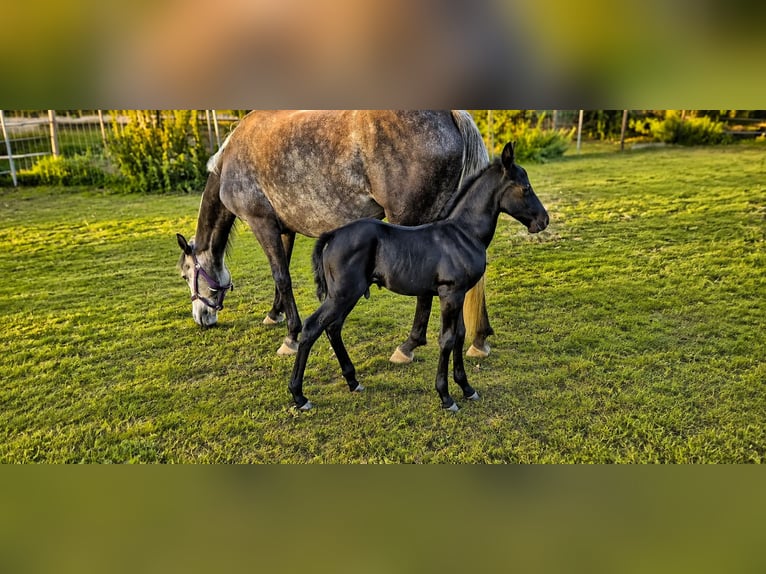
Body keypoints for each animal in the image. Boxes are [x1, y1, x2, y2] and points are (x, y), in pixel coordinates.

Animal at [176, 110, 492, 363]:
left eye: (185, 274)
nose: (201, 318)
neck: (232, 157)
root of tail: (451, 115)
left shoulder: (261, 224)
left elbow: (281, 277)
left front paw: (291, 337)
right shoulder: (284, 229)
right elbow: (282, 275)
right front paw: (274, 314)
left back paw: (408, 346)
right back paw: (479, 339)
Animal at [288, 142, 549, 411]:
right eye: (525, 188)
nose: (544, 220)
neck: (463, 233)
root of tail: (332, 235)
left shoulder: (459, 293)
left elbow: (460, 335)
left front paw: (467, 388)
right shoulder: (449, 294)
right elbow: (447, 339)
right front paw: (446, 396)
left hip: (347, 295)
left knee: (333, 327)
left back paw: (353, 381)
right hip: (343, 294)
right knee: (313, 327)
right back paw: (299, 396)